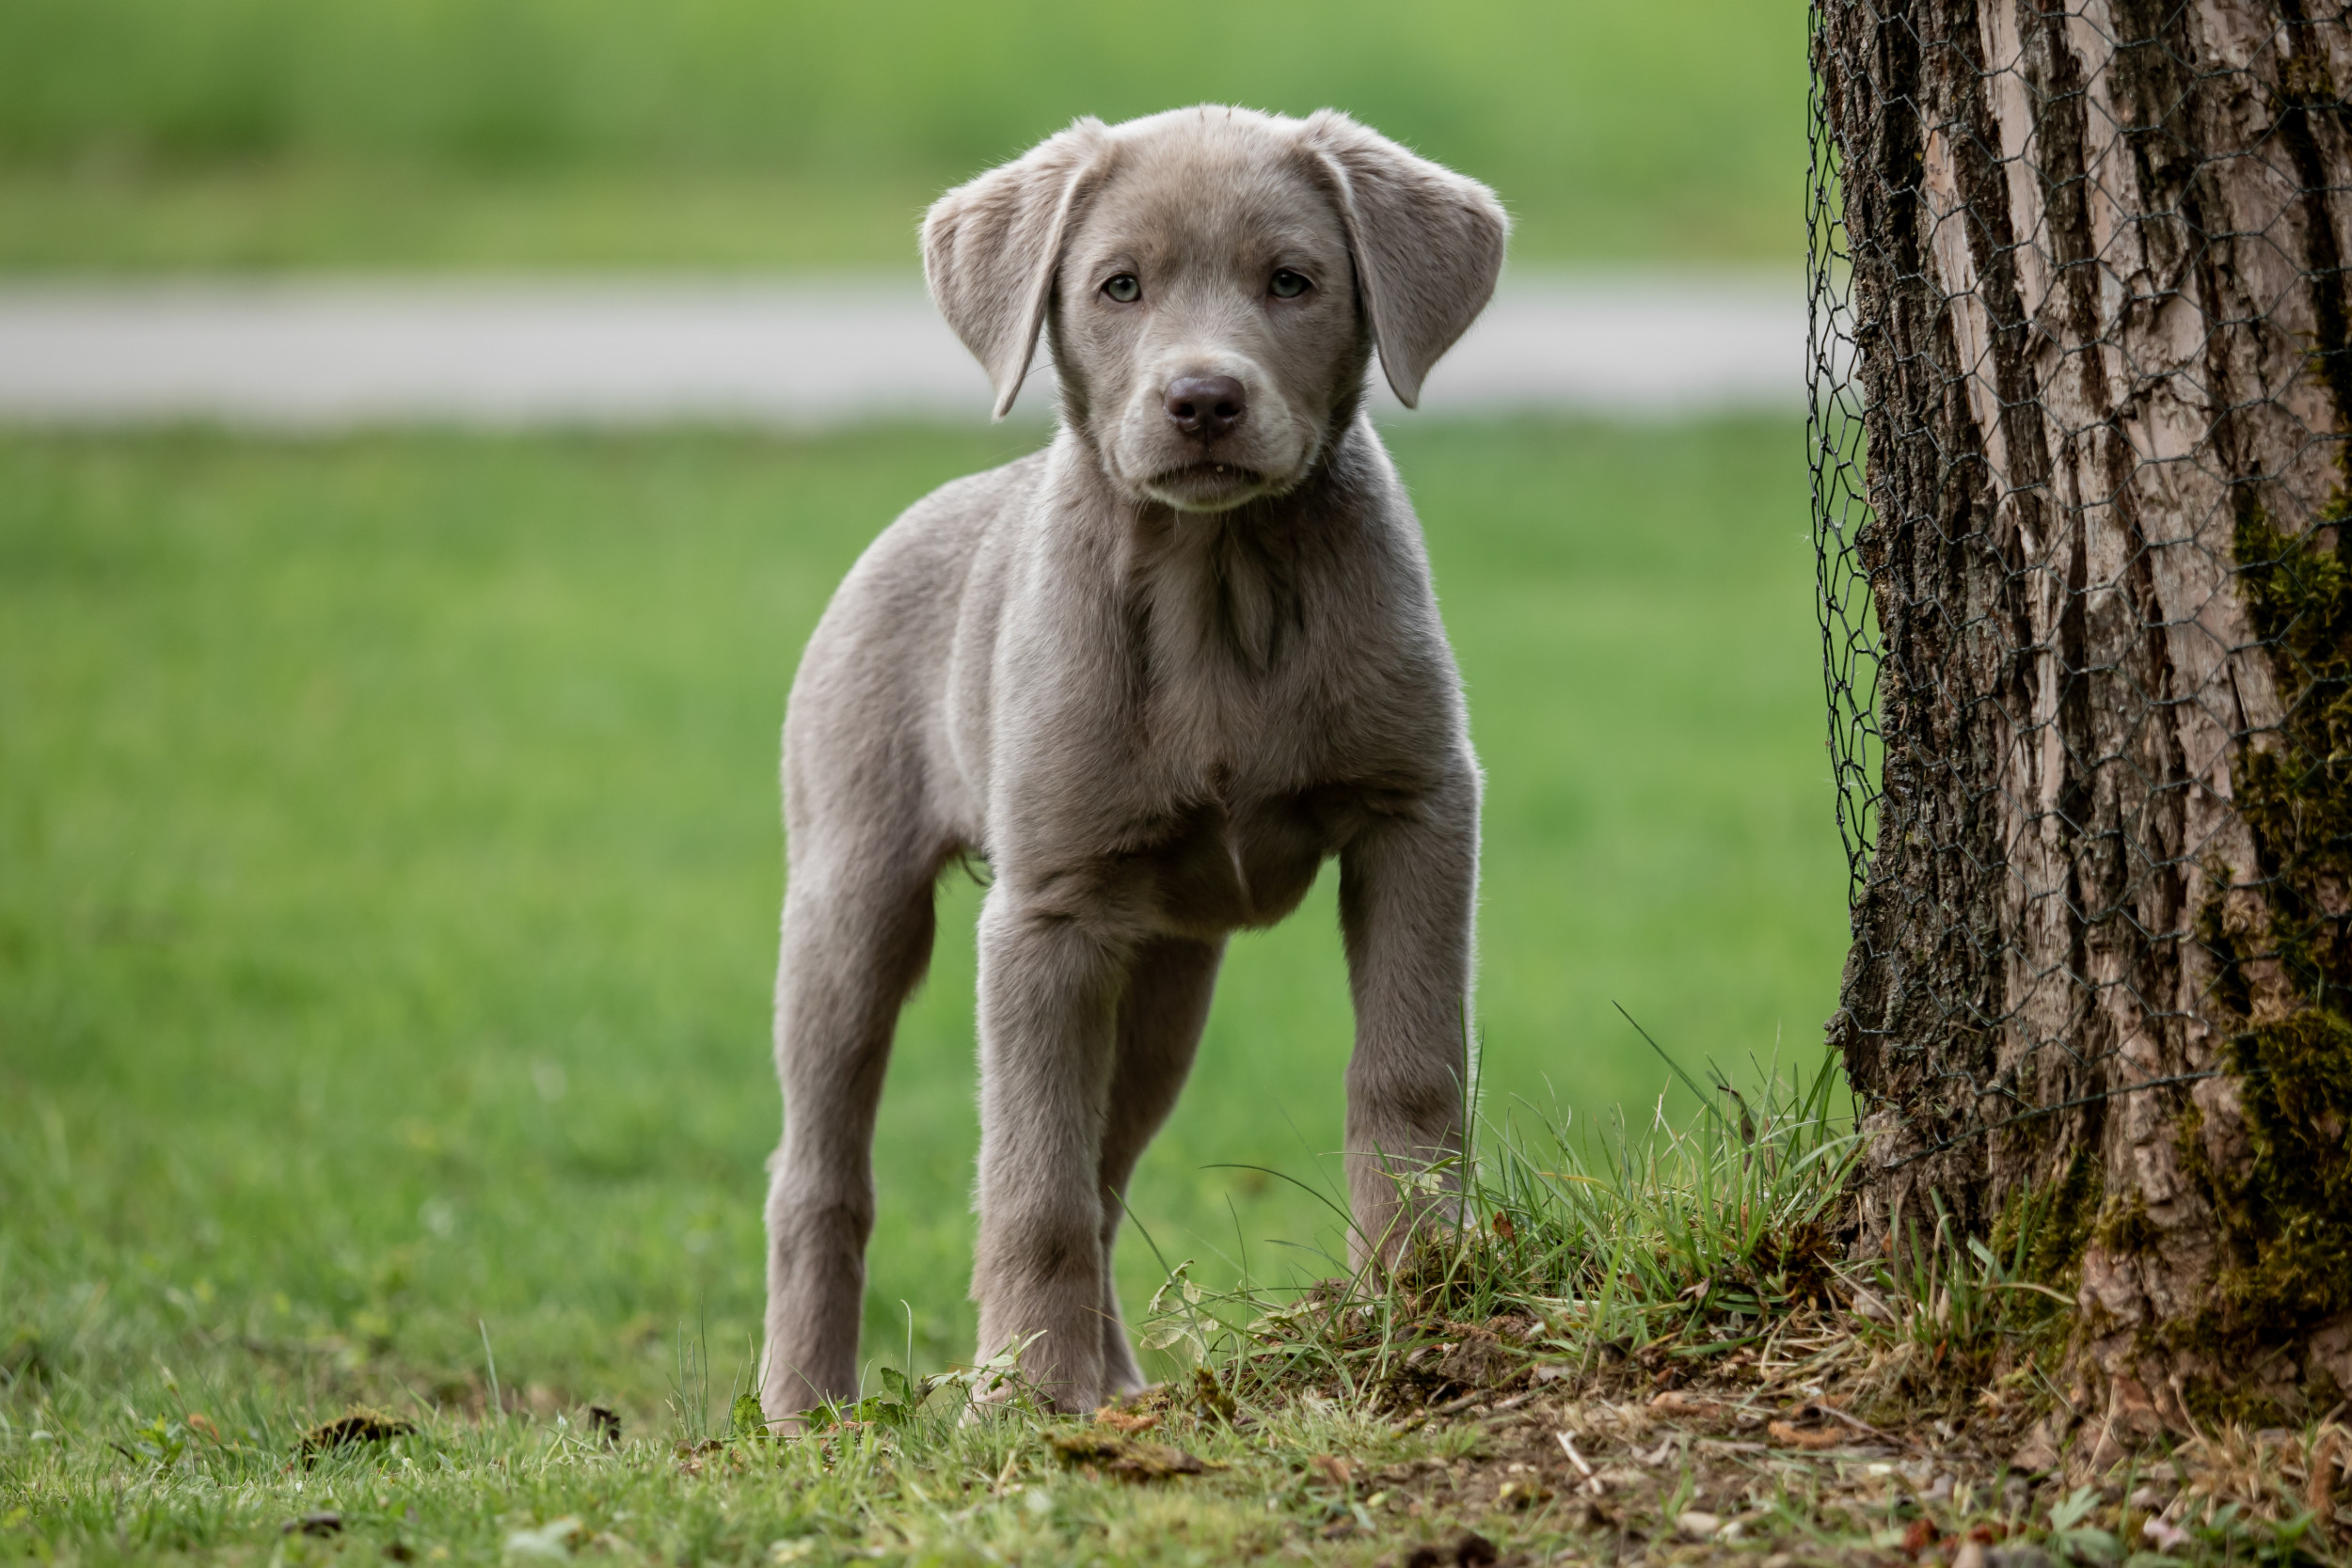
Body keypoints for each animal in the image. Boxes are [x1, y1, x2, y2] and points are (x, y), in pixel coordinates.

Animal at [767, 103, 1505, 1419]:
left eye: (1291, 280)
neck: (1220, 586)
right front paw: (1021, 1396)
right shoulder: (1045, 914)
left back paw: (1111, 1381)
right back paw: (804, 1402)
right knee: (820, 1165)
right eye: (1119, 286)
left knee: (1111, 1167)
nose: (1203, 398)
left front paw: (1410, 1294)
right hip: (849, 895)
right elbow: (1031, 1176)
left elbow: (1408, 1072)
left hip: (1165, 974)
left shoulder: (1419, 809)